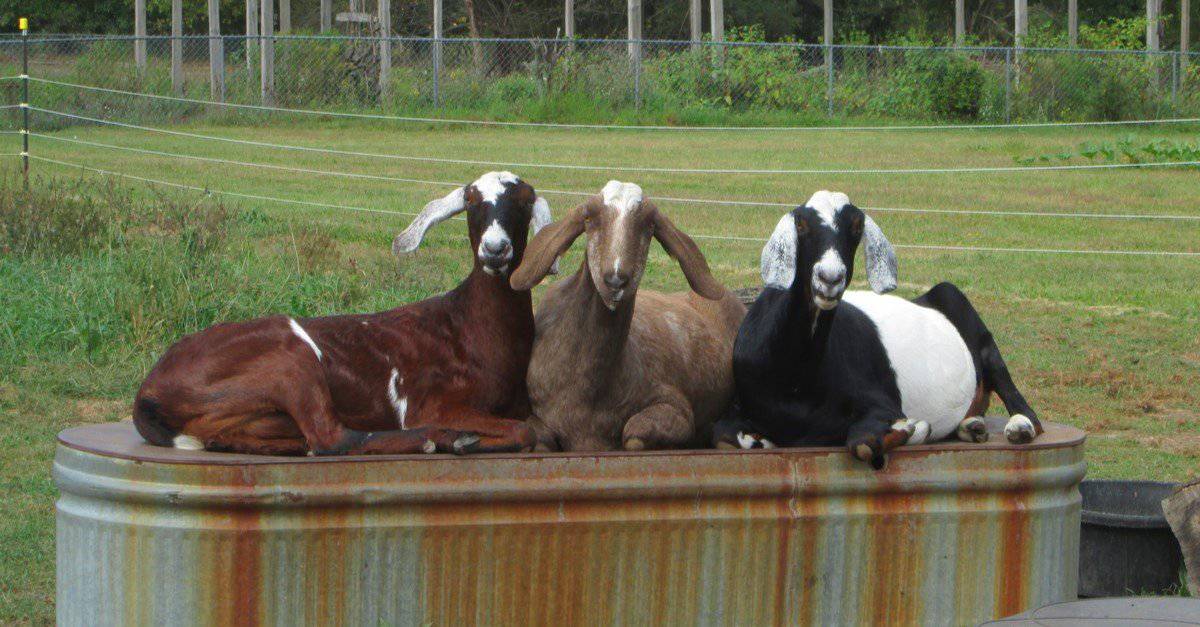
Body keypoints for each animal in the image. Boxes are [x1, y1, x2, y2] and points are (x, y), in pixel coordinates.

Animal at [133, 170, 547, 454]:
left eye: (524, 203)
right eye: (473, 203)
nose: (495, 249)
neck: (467, 326)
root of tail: (149, 391)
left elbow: (532, 426)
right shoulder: (430, 402)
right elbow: (525, 430)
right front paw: (462, 438)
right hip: (290, 360)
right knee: (332, 438)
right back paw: (439, 439)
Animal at [511, 180, 744, 449]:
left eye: (650, 224)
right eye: (588, 217)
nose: (615, 279)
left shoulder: (676, 407)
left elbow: (634, 433)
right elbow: (539, 435)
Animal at [715, 189, 1046, 468]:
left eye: (857, 226)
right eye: (801, 224)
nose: (829, 278)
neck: (795, 379)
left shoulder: (882, 404)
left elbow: (863, 443)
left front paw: (915, 428)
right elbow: (725, 436)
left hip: (969, 320)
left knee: (1023, 404)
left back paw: (1019, 426)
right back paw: (972, 426)